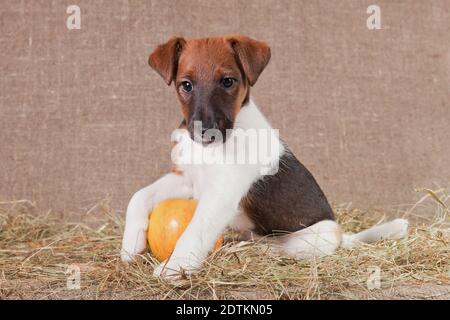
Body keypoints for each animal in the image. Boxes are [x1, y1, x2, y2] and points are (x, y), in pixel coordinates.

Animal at [121, 35, 410, 278]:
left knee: (278, 247)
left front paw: (176, 266)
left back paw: (257, 250)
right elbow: (138, 196)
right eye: (186, 85)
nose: (205, 131)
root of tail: (342, 235)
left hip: (317, 235)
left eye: (227, 81)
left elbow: (193, 232)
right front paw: (131, 242)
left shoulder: (221, 195)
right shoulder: (187, 179)